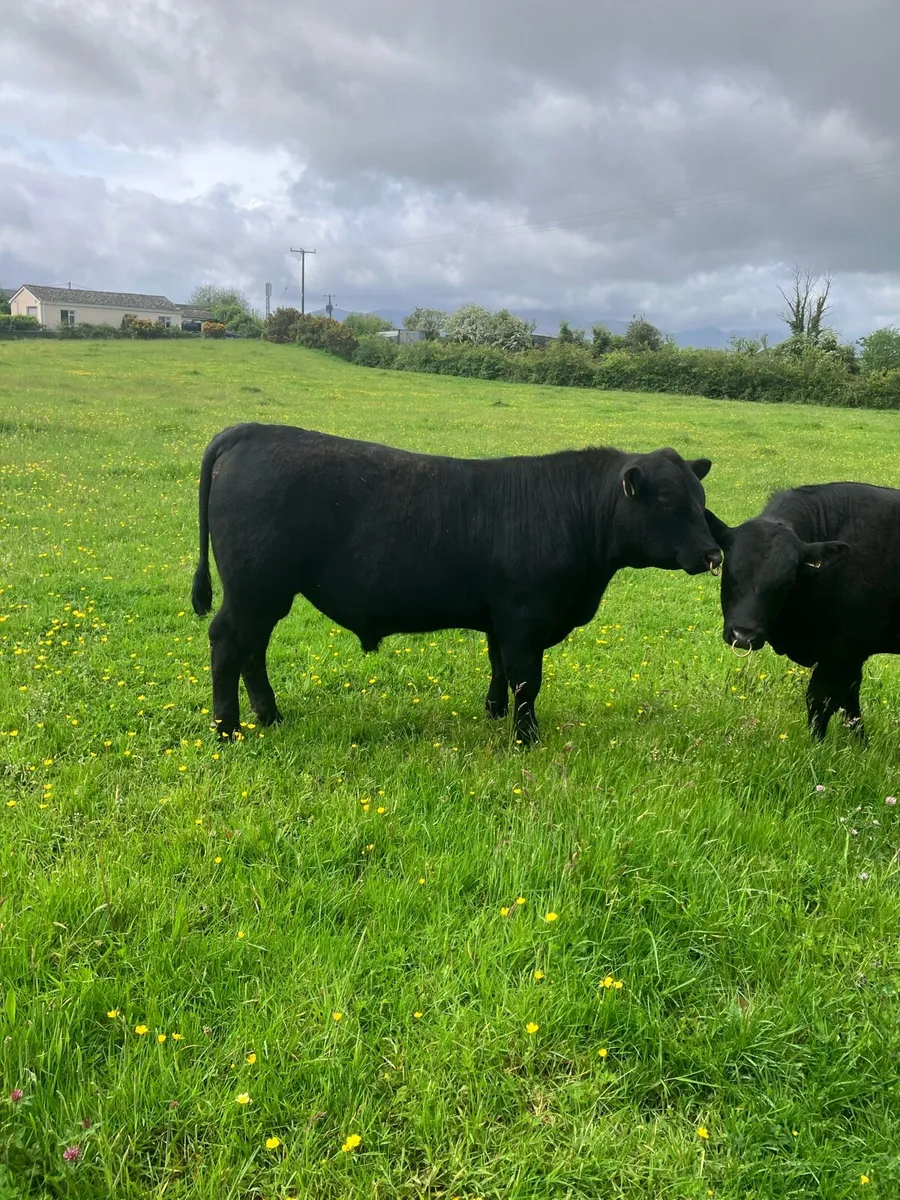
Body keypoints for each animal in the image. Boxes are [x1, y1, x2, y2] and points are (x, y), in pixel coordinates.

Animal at [191, 423, 722, 743]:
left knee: (252, 650)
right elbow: (527, 679)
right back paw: (228, 729)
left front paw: (494, 713)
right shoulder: (524, 618)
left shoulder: (500, 617)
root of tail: (252, 432)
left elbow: (499, 667)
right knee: (229, 644)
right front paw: (526, 737)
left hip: (263, 594)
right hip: (255, 589)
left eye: (701, 498)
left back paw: (269, 716)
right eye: (668, 501)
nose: (713, 554)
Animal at [705, 481, 900, 739]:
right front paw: (860, 742)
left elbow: (820, 700)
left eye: (787, 581)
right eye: (729, 571)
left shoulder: (843, 651)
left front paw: (817, 744)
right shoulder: (850, 657)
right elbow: (849, 702)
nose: (743, 635)